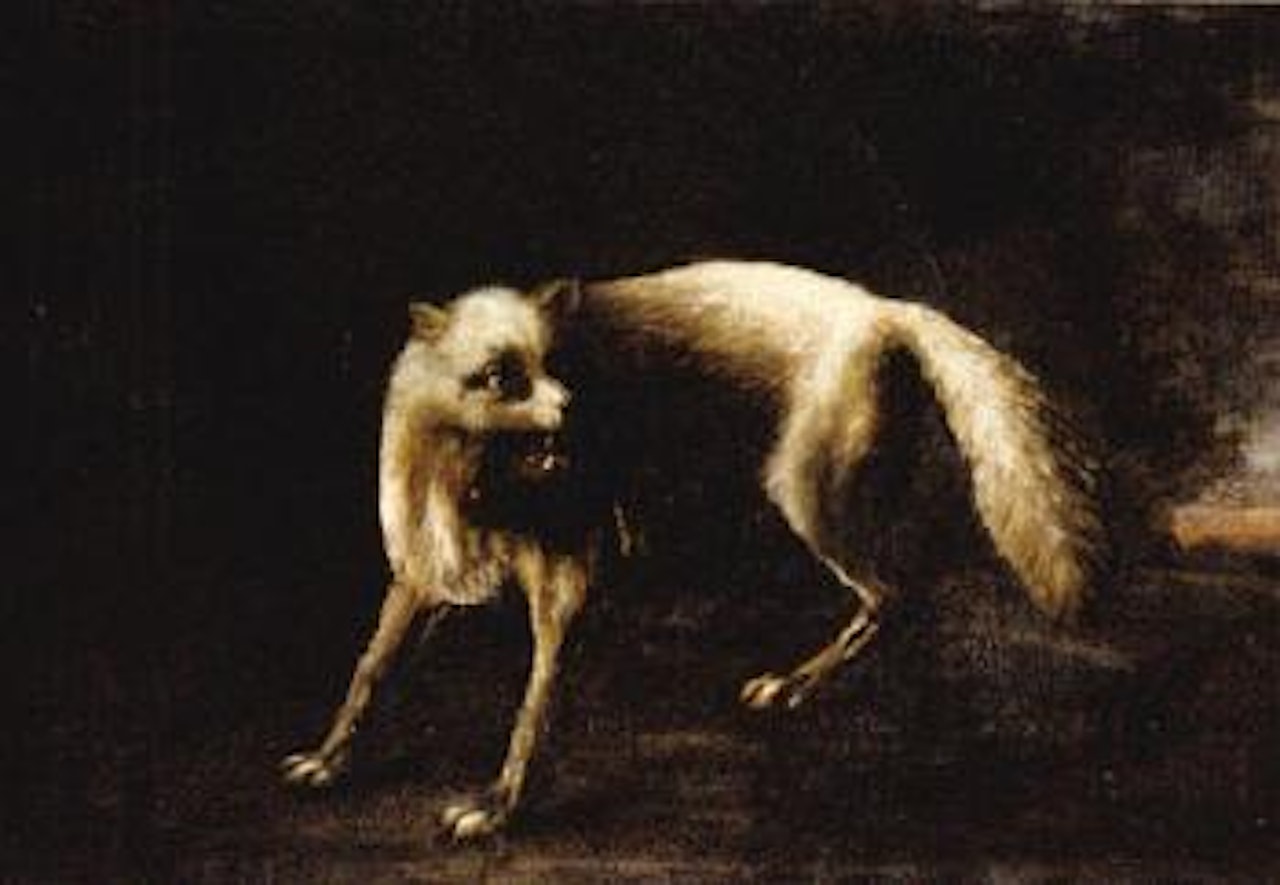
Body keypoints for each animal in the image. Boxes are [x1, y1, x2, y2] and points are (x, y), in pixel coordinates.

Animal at [280, 260, 1103, 840]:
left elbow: (532, 707)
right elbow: (371, 671)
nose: (571, 410)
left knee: (894, 597)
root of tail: (885, 310)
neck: (484, 476)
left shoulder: (567, 583)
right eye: (502, 377)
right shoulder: (423, 574)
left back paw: (799, 687)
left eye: (558, 368)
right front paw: (328, 758)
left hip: (812, 499)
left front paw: (500, 806)